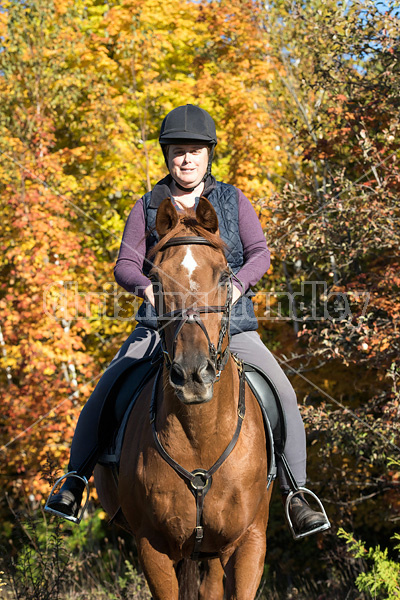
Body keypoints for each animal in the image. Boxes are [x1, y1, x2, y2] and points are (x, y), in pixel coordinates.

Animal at [95, 198, 274, 600]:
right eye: (157, 280)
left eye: (224, 277)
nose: (193, 373)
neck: (200, 435)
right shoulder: (152, 548)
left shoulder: (249, 542)